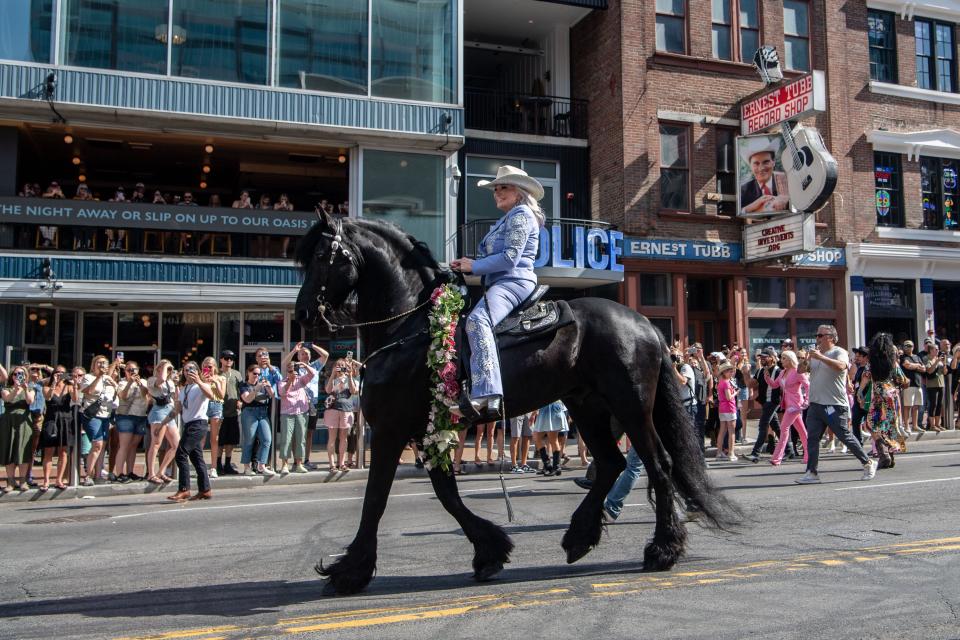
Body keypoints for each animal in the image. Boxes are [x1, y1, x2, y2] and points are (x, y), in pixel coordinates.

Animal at [296, 214, 740, 596]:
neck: (410, 327)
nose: (303, 313)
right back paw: (580, 537)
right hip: (587, 406)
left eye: (321, 256)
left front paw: (349, 570)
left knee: (658, 464)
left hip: (630, 405)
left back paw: (662, 549)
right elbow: (446, 493)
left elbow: (376, 499)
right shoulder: (428, 431)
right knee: (611, 464)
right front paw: (490, 551)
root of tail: (646, 324)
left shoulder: (391, 430)